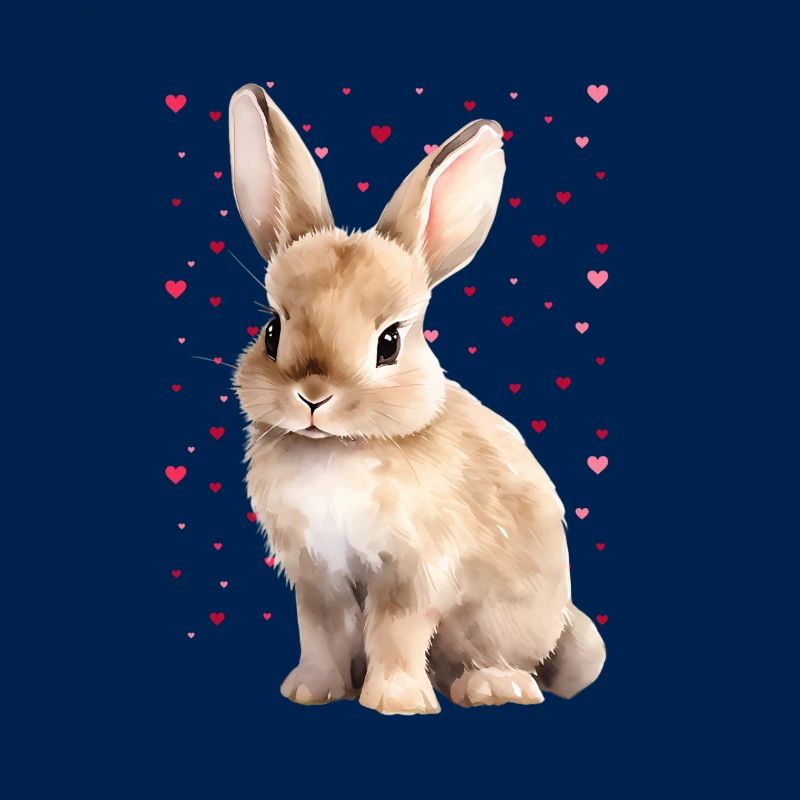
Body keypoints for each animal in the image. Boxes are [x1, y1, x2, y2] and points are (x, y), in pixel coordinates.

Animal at [229, 83, 606, 715]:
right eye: (272, 332)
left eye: (389, 343)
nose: (312, 396)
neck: (338, 449)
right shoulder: (317, 575)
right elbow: (321, 631)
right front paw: (310, 690)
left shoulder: (412, 569)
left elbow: (397, 630)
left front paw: (396, 702)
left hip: (501, 622)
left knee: (503, 663)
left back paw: (492, 686)